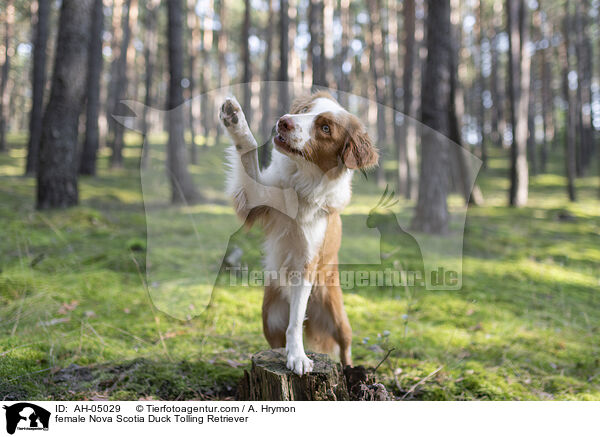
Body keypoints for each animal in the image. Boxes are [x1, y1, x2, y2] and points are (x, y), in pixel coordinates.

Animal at [218, 92, 378, 374]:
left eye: (325, 128)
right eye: (305, 110)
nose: (284, 121)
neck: (301, 181)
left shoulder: (306, 262)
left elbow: (295, 322)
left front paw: (298, 356)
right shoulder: (254, 197)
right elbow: (248, 148)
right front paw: (235, 118)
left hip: (339, 317)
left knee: (344, 347)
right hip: (269, 317)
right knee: (276, 340)